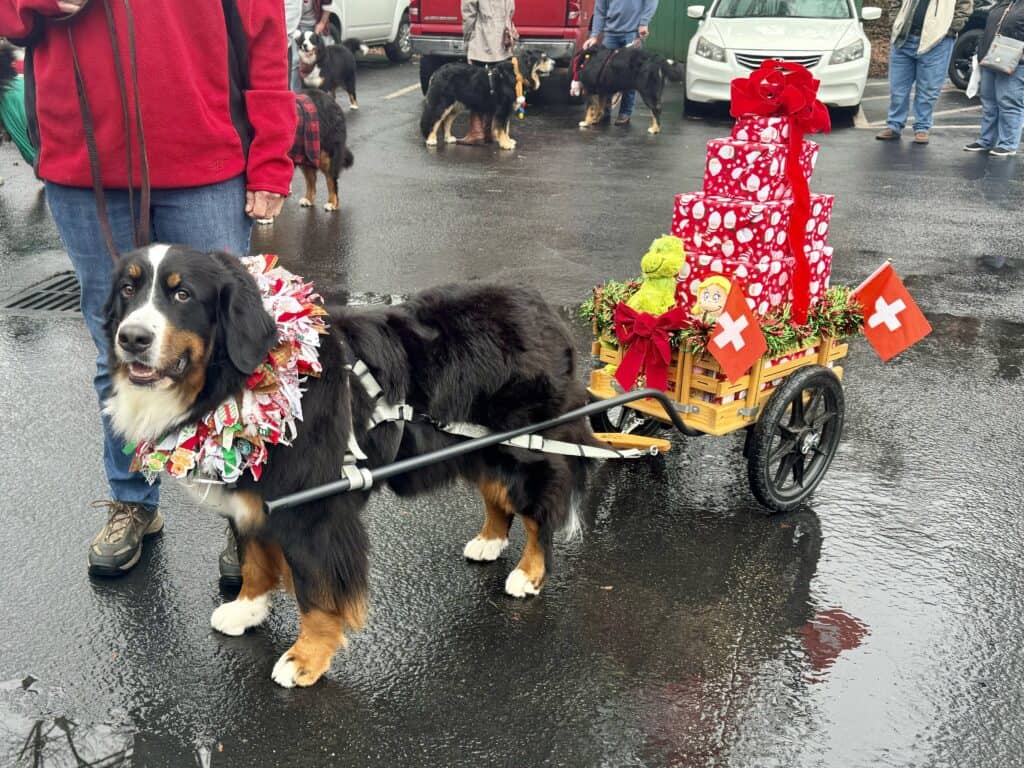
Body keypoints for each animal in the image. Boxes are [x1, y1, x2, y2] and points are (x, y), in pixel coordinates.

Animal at [103, 247, 598, 692]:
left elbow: (318, 593)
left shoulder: (315, 511)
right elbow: (255, 560)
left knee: (538, 511)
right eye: (127, 289)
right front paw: (247, 609)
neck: (244, 379)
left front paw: (306, 660)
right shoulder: (253, 500)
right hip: (478, 443)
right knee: (496, 494)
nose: (131, 338)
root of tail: (541, 305)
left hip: (524, 448)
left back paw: (528, 573)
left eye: (182, 294)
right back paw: (489, 541)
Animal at [419, 50, 557, 150]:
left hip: (457, 105)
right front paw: (506, 144)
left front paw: (508, 140)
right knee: (434, 120)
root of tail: (436, 72)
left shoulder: (507, 110)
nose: (554, 63)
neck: (518, 74)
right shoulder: (502, 109)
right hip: (442, 103)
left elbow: (506, 128)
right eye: (543, 58)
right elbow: (501, 128)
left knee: (447, 120)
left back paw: (448, 138)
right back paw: (431, 140)